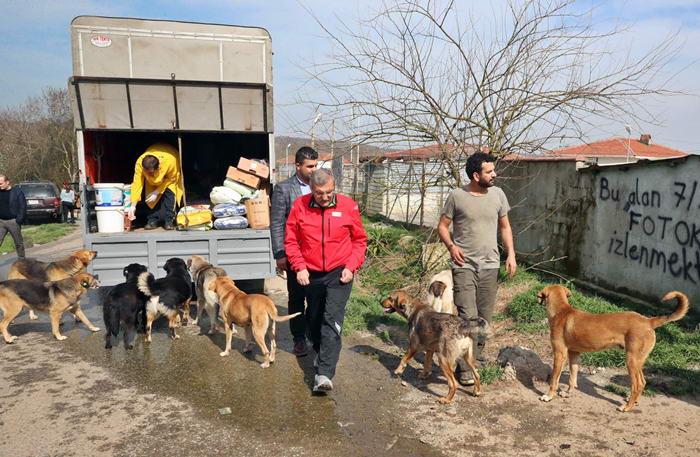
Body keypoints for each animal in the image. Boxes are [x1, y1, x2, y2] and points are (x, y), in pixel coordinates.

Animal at [540, 284, 688, 410]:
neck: (561, 311)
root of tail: (648, 321)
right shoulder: (574, 354)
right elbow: (572, 378)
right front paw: (568, 393)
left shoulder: (559, 354)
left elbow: (554, 380)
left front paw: (549, 396)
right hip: (638, 361)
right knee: (643, 382)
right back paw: (632, 401)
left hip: (631, 360)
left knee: (638, 384)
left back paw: (627, 407)